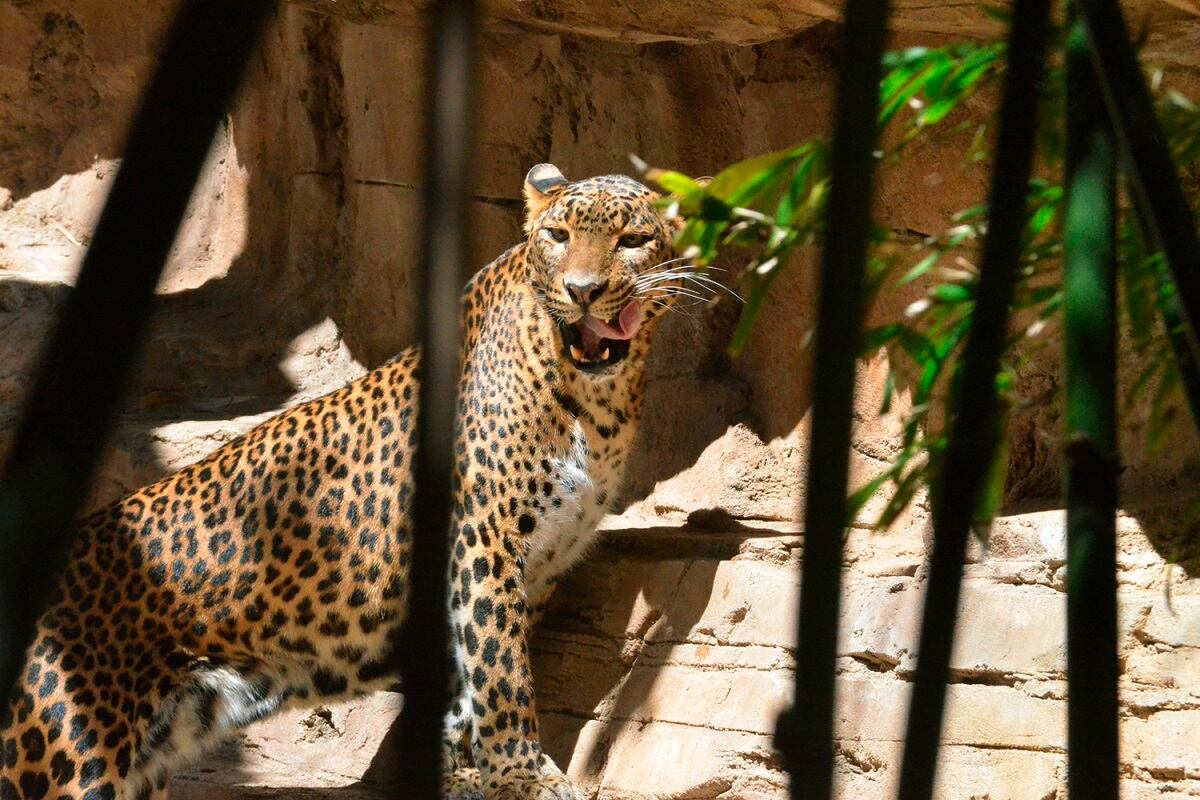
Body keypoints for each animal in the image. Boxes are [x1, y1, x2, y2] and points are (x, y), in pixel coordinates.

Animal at [0, 164, 700, 800]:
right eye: (557, 235)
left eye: (632, 240)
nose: (581, 290)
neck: (596, 398)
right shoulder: (485, 540)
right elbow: (501, 671)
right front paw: (523, 779)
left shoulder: (535, 566)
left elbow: (468, 680)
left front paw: (460, 776)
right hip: (62, 759)